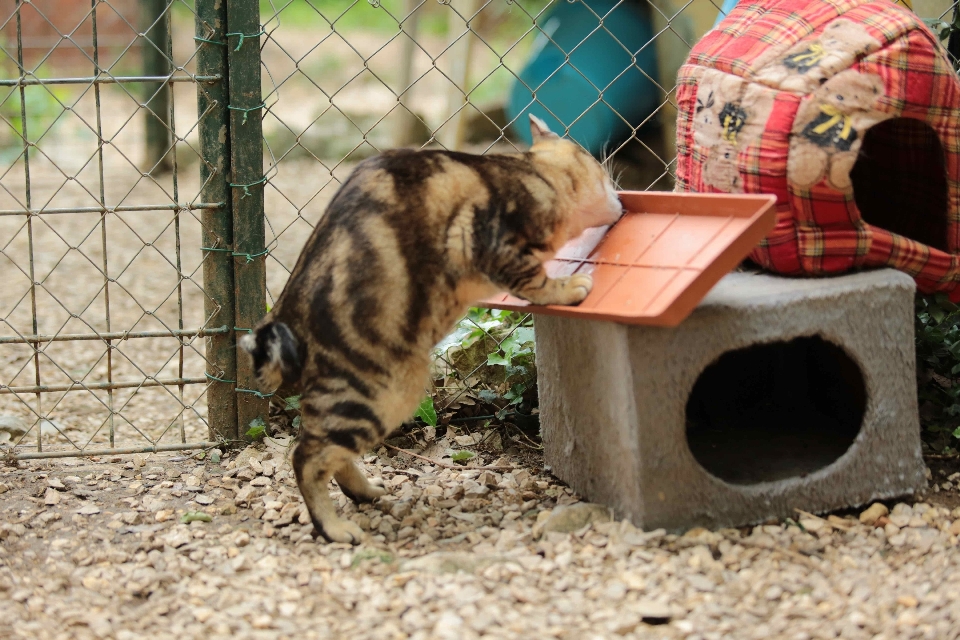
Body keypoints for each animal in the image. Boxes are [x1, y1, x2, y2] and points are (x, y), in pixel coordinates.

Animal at [240, 114, 624, 540]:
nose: (621, 195)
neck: (532, 173)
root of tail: (286, 318)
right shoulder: (495, 243)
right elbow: (535, 281)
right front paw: (569, 287)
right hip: (377, 395)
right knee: (306, 457)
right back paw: (335, 528)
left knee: (327, 454)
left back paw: (365, 492)